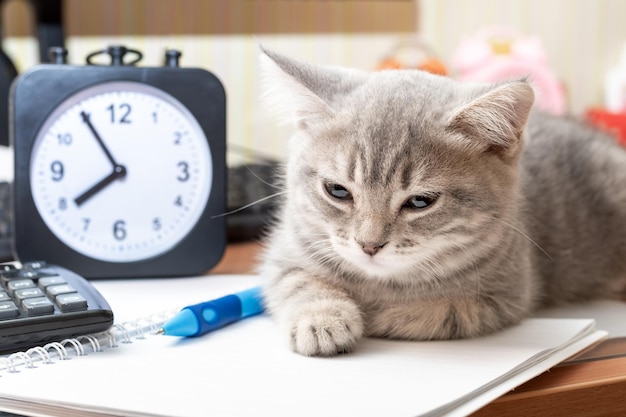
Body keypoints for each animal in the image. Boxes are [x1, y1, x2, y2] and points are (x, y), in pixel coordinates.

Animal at [256, 48, 624, 354]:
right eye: (337, 191)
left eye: (420, 202)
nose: (369, 245)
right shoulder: (286, 250)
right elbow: (295, 281)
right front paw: (321, 319)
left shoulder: (505, 297)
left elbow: (441, 312)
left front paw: (379, 314)